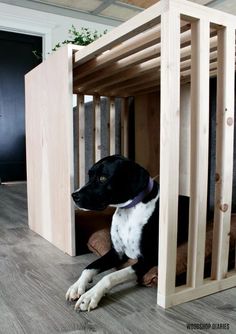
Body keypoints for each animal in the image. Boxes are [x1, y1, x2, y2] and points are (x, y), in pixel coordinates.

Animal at [66, 155, 188, 312]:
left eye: (103, 178)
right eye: (89, 175)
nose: (74, 195)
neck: (129, 211)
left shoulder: (147, 260)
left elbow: (110, 277)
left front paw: (90, 296)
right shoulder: (116, 252)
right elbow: (89, 267)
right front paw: (77, 286)